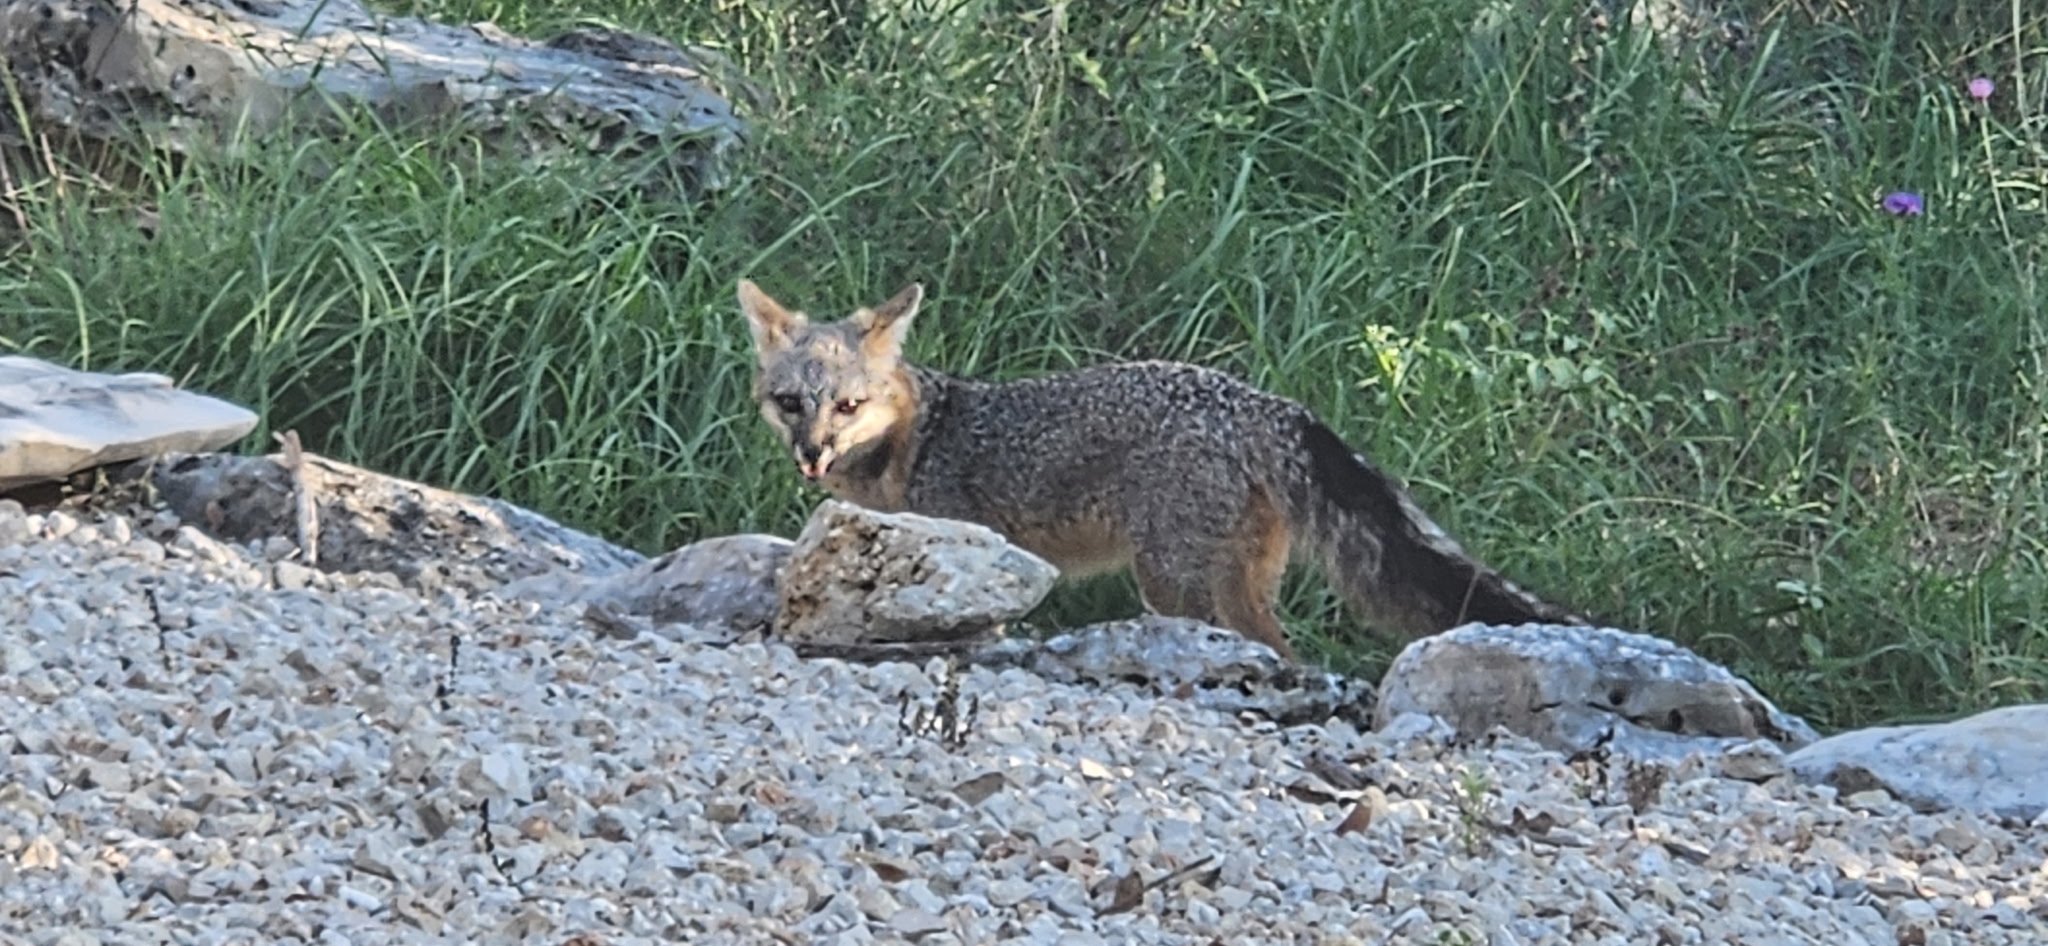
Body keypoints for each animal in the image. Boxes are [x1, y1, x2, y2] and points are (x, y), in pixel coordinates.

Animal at [737, 279, 1586, 661]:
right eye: (791, 403)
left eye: (847, 407)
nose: (812, 454)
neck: (918, 436)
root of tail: (1263, 401)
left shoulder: (965, 558)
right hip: (1232, 581)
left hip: (1172, 580)